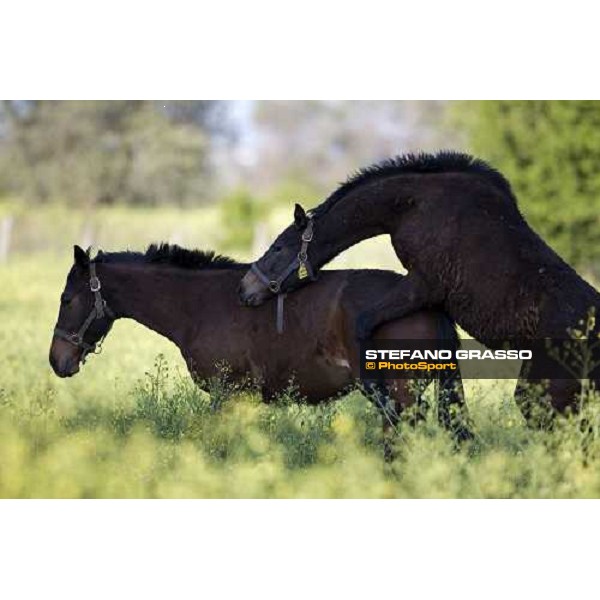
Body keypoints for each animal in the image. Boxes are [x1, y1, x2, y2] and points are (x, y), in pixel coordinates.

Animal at [50, 241, 474, 452]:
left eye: (67, 299)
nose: (57, 360)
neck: (199, 304)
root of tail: (429, 301)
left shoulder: (226, 394)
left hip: (400, 394)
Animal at [238, 151, 600, 422]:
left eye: (278, 248)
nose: (245, 289)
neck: (414, 204)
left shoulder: (421, 284)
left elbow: (362, 323)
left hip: (545, 396)